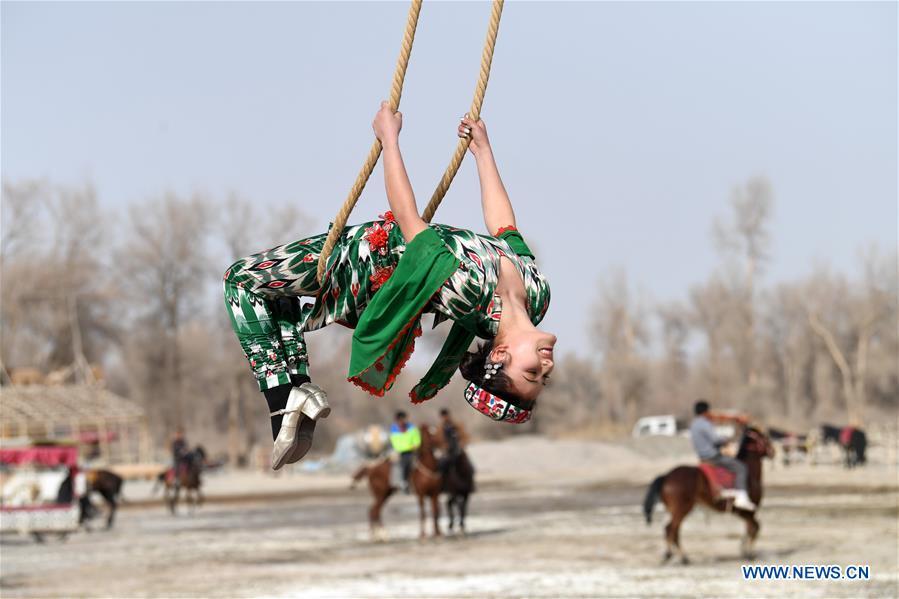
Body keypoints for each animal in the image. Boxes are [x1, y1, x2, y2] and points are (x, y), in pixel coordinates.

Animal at [644, 428, 776, 564]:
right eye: (765, 438)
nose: (773, 452)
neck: (750, 472)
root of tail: (667, 476)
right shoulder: (747, 512)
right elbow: (755, 528)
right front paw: (749, 553)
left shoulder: (744, 513)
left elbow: (750, 528)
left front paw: (744, 550)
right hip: (681, 509)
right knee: (672, 529)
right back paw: (675, 556)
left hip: (672, 510)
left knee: (669, 530)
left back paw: (680, 556)